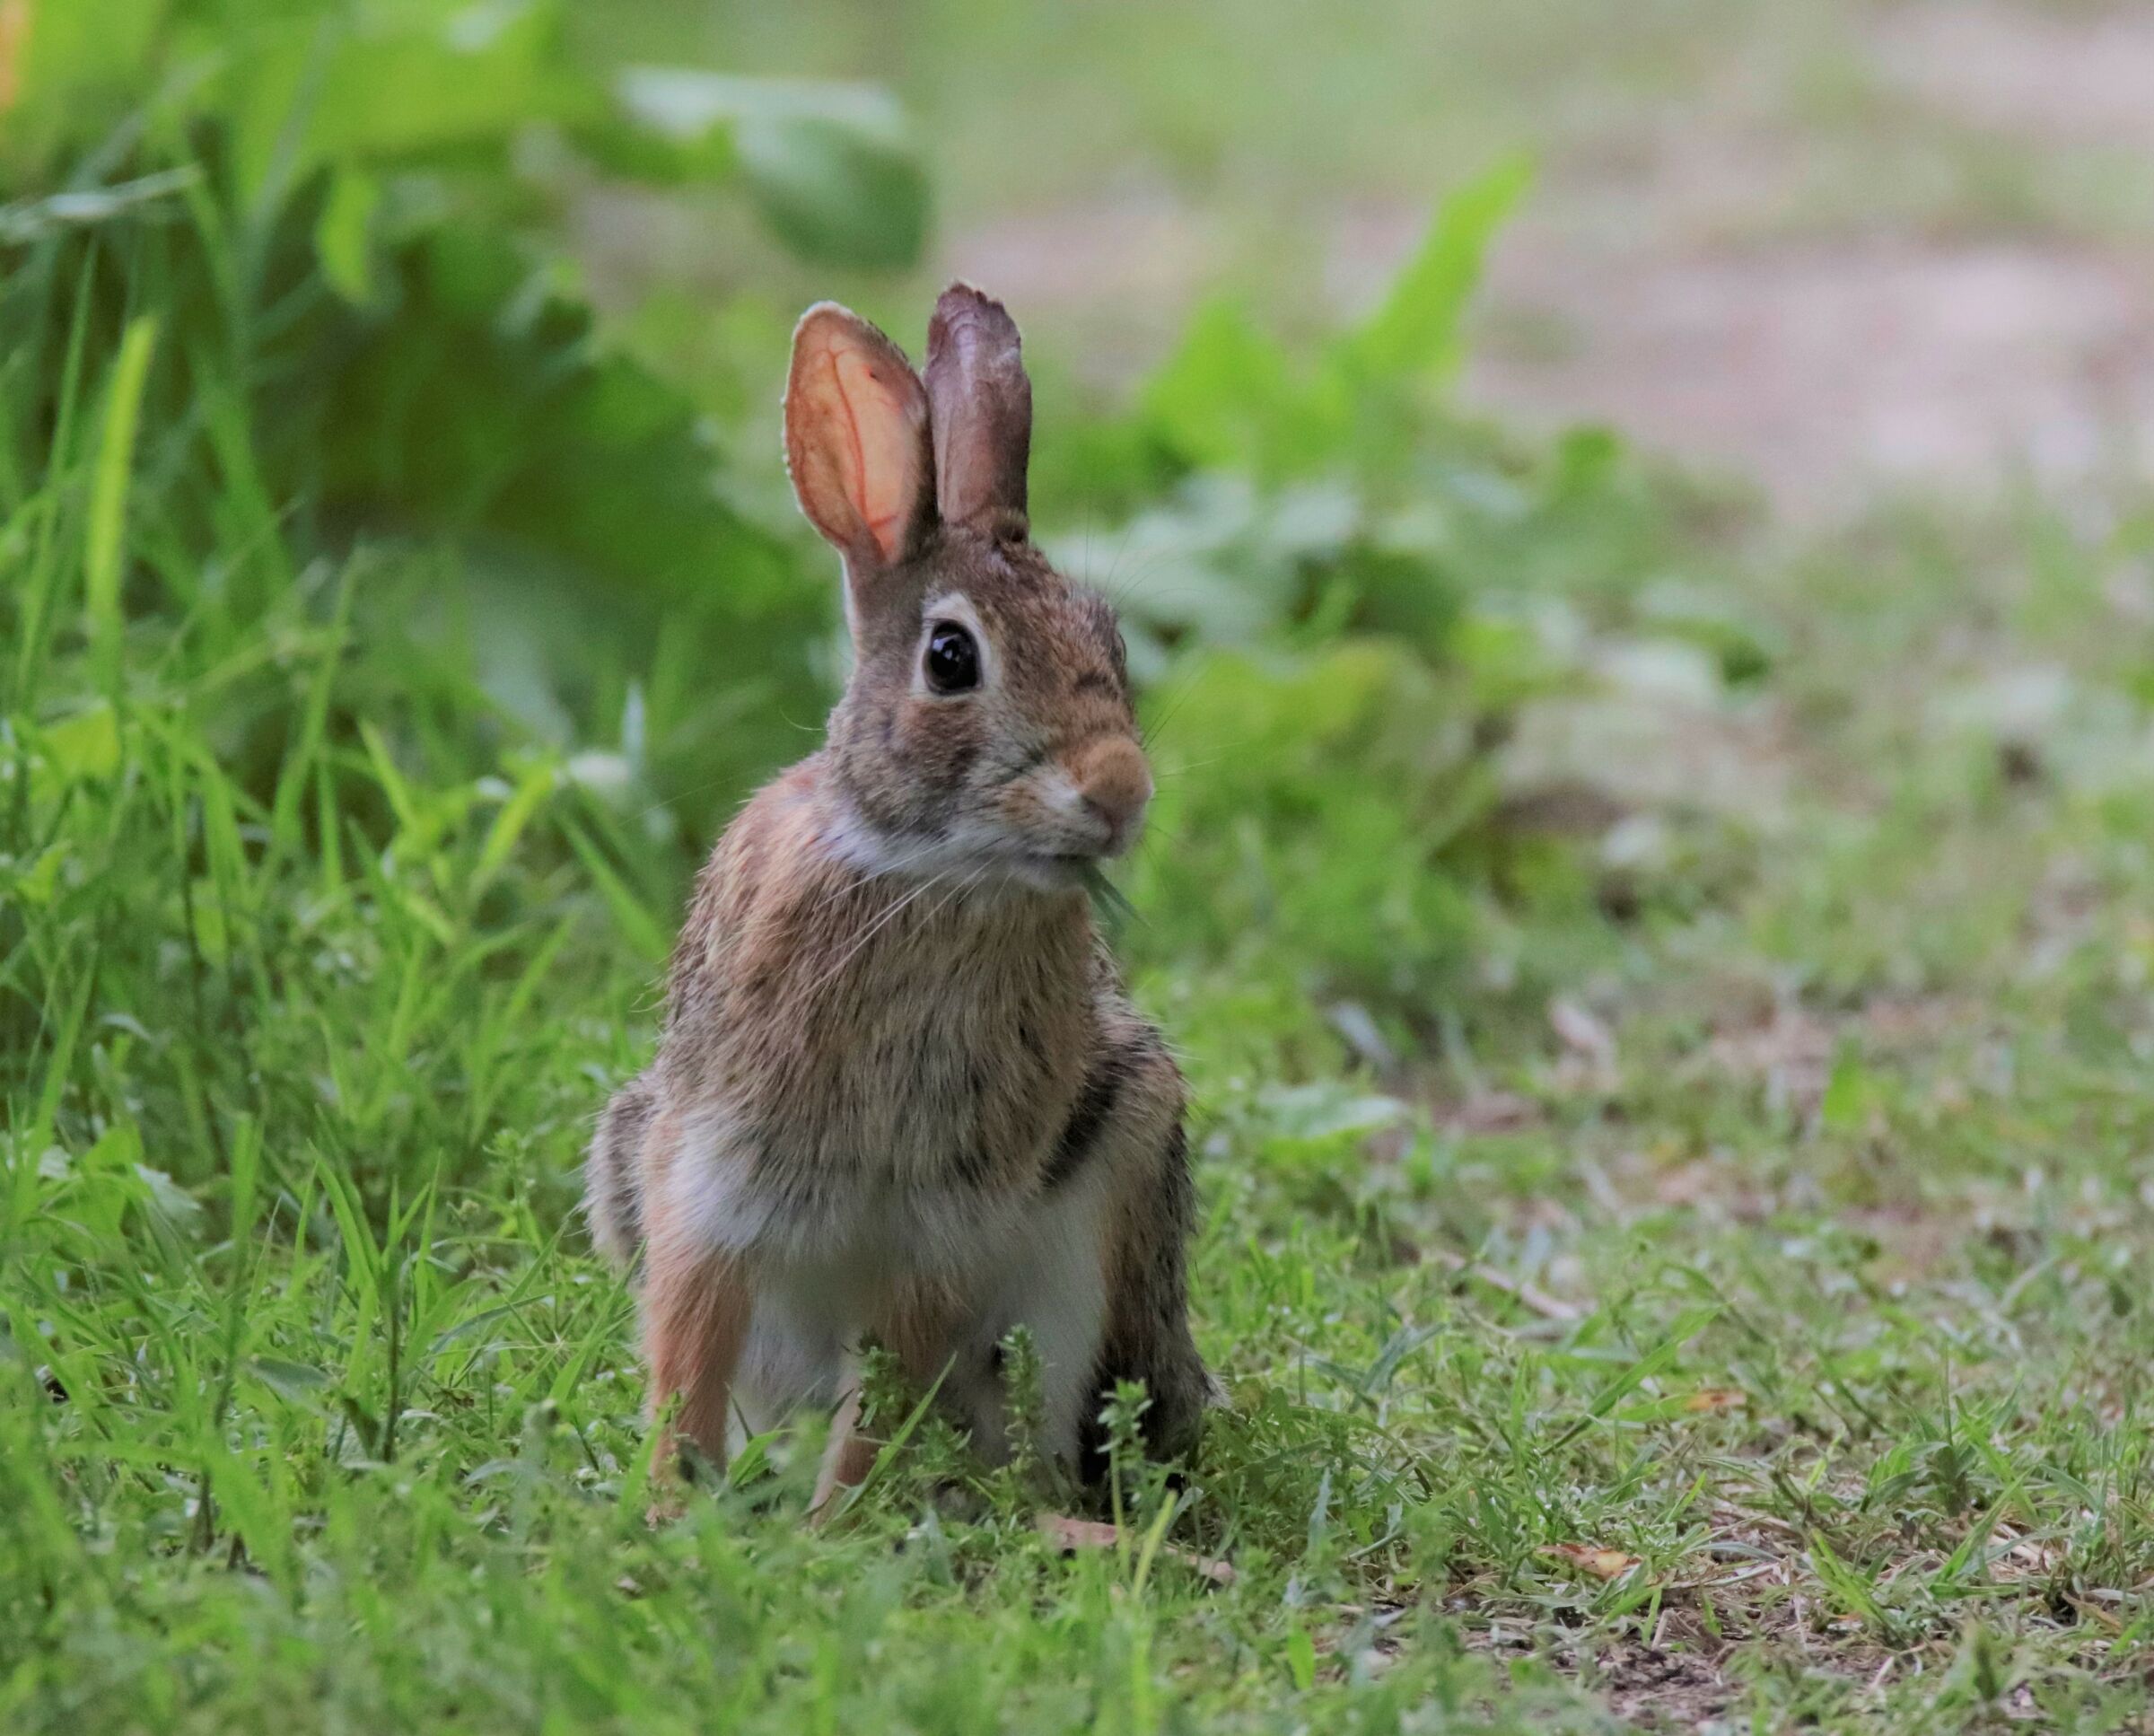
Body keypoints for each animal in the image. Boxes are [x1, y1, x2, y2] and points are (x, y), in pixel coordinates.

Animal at [585, 283, 1209, 1512]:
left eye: (1110, 639)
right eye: (952, 658)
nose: (1121, 791)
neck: (932, 877)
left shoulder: (940, 1226)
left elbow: (887, 1382)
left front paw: (833, 1521)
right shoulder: (708, 1176)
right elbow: (687, 1342)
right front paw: (670, 1501)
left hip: (1111, 1190)